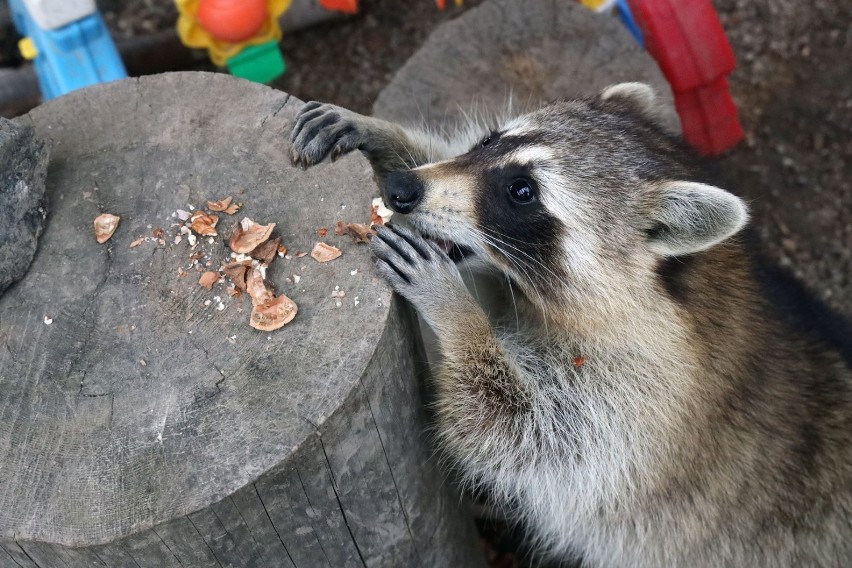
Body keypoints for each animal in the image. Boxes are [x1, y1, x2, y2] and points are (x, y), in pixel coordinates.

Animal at [290, 85, 852, 568]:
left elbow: (519, 432)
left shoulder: (643, 402)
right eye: (490, 140)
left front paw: (458, 313)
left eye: (522, 192)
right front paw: (383, 135)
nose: (402, 189)